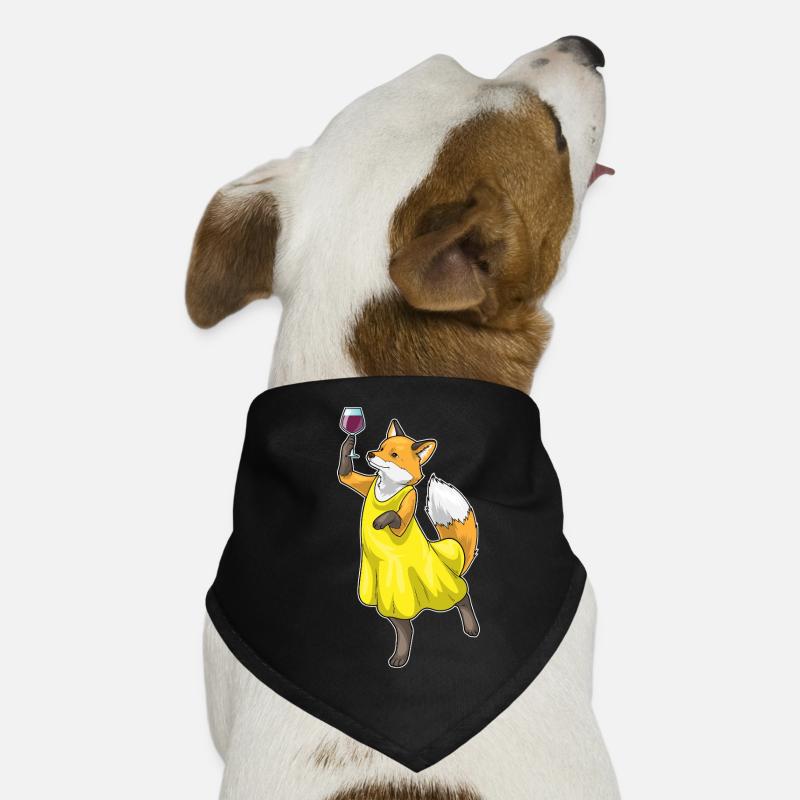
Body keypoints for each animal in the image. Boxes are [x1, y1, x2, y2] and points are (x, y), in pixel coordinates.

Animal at [337, 417, 480, 668]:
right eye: (381, 447)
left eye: (394, 454)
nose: (370, 454)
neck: (387, 489)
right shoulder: (367, 484)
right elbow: (346, 474)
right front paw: (349, 442)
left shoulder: (410, 499)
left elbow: (396, 517)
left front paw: (381, 520)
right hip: (388, 594)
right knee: (405, 628)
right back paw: (401, 655)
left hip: (423, 588)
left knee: (462, 597)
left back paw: (471, 627)